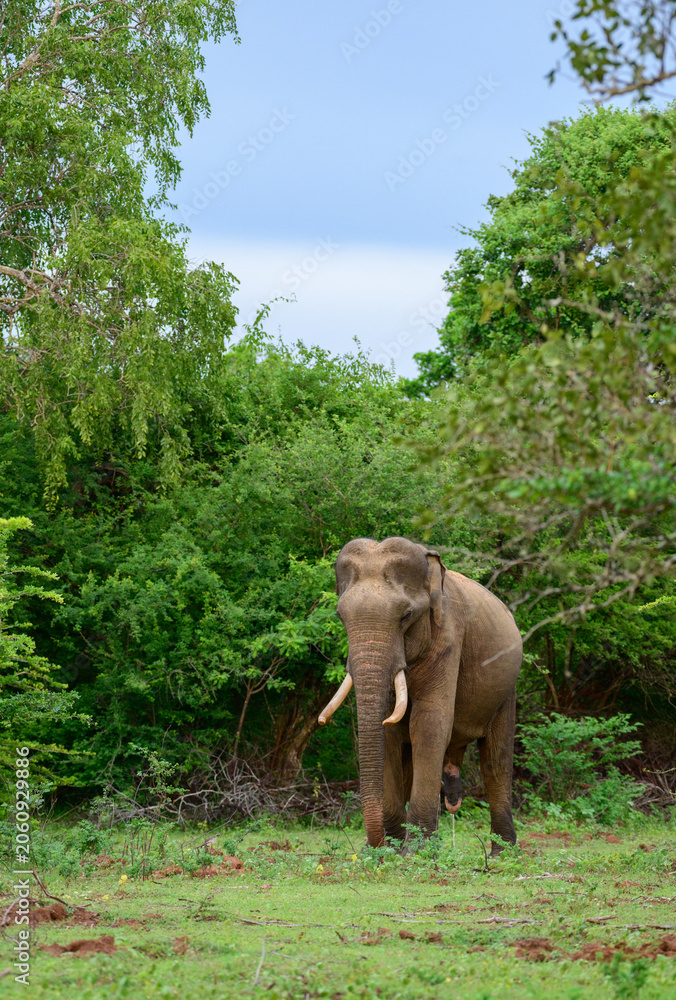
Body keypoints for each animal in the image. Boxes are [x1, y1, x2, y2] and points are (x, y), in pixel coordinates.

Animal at [318, 536, 522, 855]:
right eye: (340, 616)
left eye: (406, 615)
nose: (375, 846)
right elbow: (389, 733)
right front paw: (387, 853)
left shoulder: (449, 636)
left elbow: (428, 723)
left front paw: (416, 853)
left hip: (506, 689)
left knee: (495, 762)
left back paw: (502, 855)